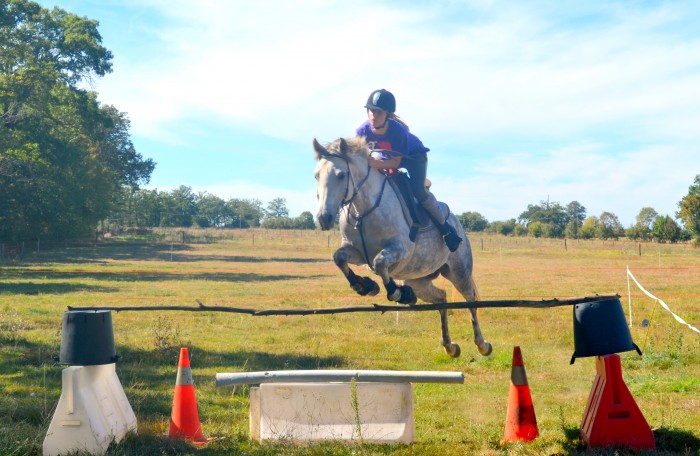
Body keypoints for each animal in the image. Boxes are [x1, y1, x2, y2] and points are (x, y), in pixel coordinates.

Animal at [314, 137, 492, 358]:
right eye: (316, 175)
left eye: (341, 175)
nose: (323, 218)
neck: (364, 209)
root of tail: (458, 224)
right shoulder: (358, 253)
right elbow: (339, 257)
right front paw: (364, 286)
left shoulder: (401, 250)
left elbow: (380, 263)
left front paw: (398, 293)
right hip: (419, 280)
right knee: (441, 298)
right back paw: (450, 346)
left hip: (459, 271)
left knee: (471, 301)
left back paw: (482, 344)